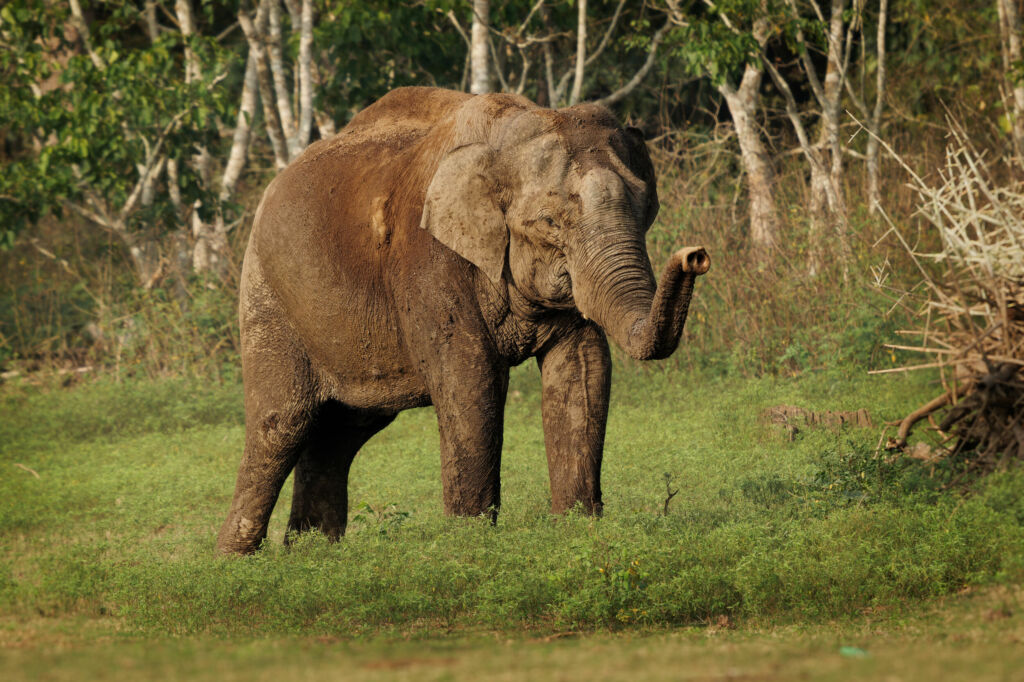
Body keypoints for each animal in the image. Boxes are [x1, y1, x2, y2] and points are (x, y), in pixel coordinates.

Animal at [216, 86, 709, 555]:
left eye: (646, 208)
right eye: (549, 222)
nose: (696, 256)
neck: (506, 131)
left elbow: (583, 369)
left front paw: (578, 528)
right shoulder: (429, 260)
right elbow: (472, 379)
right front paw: (470, 542)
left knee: (341, 433)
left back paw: (310, 554)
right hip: (267, 293)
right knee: (282, 422)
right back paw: (236, 561)